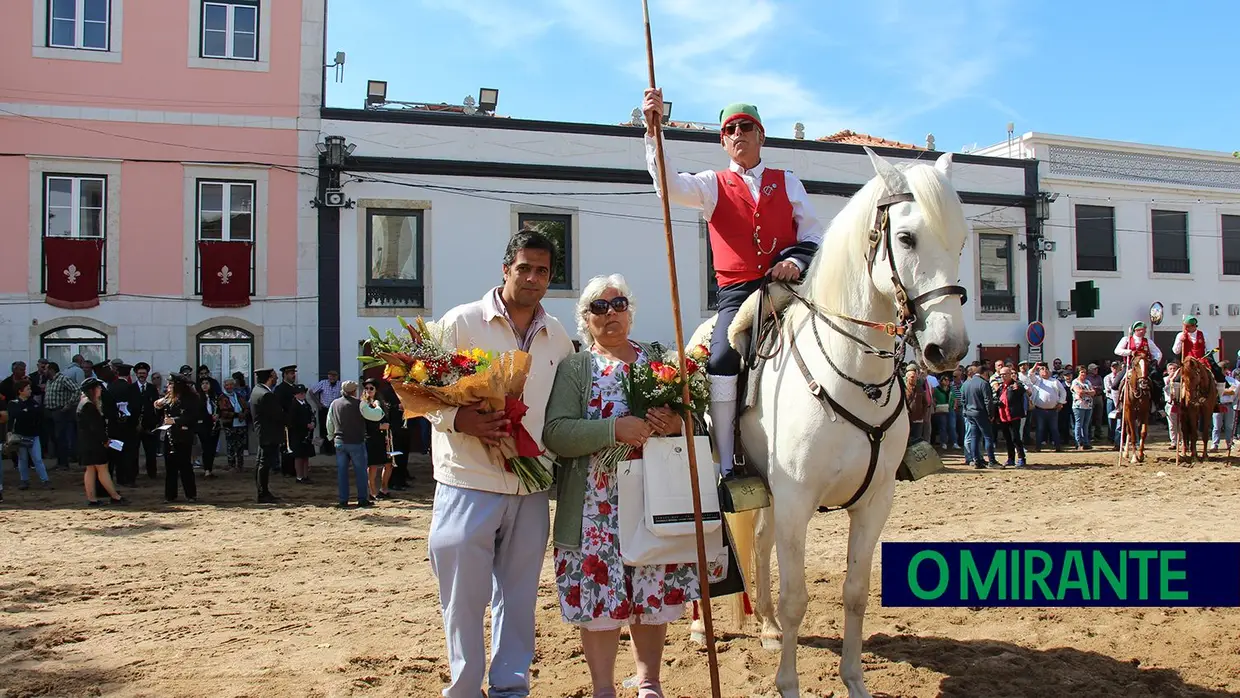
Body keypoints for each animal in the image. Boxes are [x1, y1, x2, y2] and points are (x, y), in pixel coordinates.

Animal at [689, 145, 967, 694]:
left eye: (963, 239)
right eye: (907, 238)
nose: (948, 348)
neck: (855, 375)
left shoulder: (874, 501)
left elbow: (855, 591)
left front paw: (854, 680)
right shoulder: (798, 500)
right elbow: (798, 598)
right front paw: (788, 684)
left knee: (759, 544)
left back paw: (767, 627)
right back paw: (698, 626)